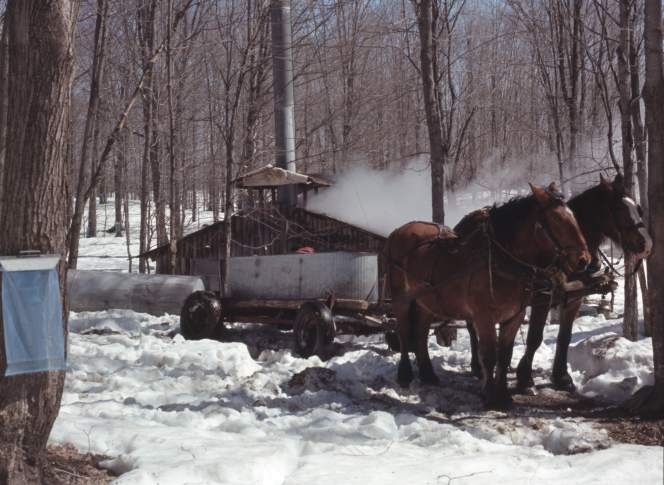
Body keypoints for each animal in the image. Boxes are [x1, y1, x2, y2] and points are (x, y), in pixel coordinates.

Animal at [384, 183, 592, 406]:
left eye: (574, 217)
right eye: (556, 220)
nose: (584, 260)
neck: (501, 261)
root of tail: (398, 231)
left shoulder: (515, 315)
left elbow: (505, 353)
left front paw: (503, 394)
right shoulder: (484, 316)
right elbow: (490, 355)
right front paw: (491, 395)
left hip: (425, 301)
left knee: (421, 333)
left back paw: (427, 374)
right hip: (401, 298)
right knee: (403, 330)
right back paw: (405, 374)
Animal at [464, 174, 652, 390]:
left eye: (638, 208)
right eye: (620, 209)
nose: (647, 245)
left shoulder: (574, 299)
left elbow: (564, 336)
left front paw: (561, 376)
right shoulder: (542, 299)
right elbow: (535, 337)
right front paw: (525, 377)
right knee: (472, 327)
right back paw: (477, 366)